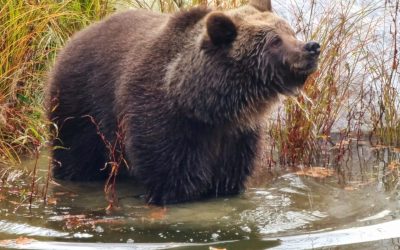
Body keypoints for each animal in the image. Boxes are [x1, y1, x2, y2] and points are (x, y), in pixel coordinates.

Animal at [47, 0, 320, 205]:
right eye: (275, 41)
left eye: (290, 32)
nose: (312, 47)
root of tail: (75, 37)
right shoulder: (164, 121)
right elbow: (173, 175)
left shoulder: (237, 136)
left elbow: (230, 176)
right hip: (83, 107)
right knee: (77, 156)